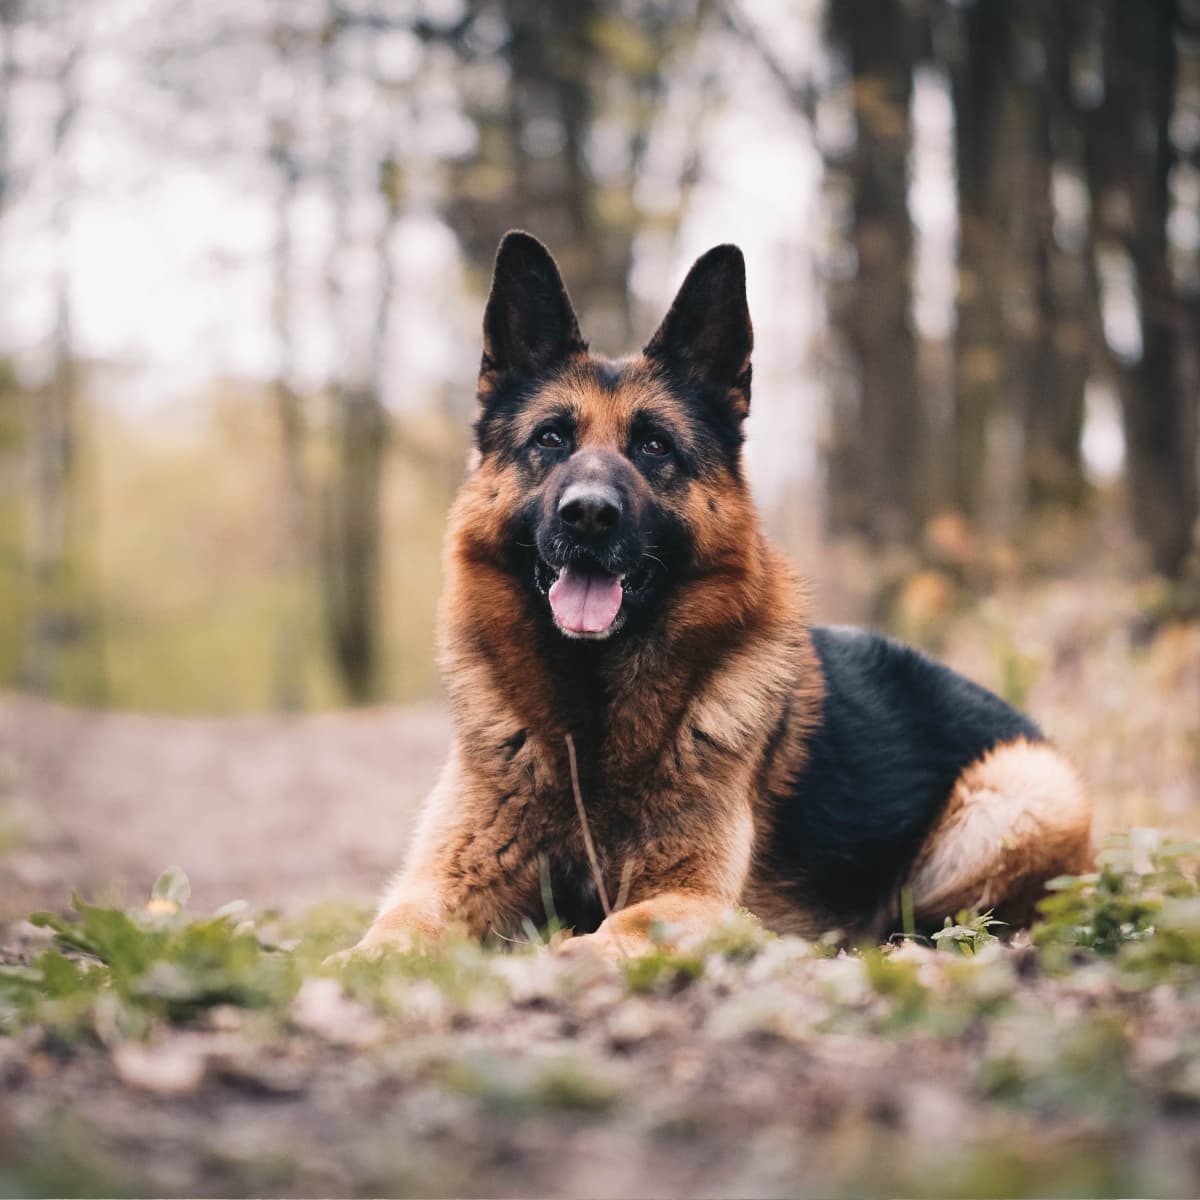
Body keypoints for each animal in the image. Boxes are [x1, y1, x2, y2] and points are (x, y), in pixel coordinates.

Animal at [350, 234, 1099, 960]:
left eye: (654, 446)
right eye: (551, 439)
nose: (588, 515)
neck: (590, 721)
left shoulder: (691, 896)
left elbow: (613, 931)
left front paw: (563, 955)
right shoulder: (442, 881)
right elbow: (390, 933)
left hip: (1012, 792)